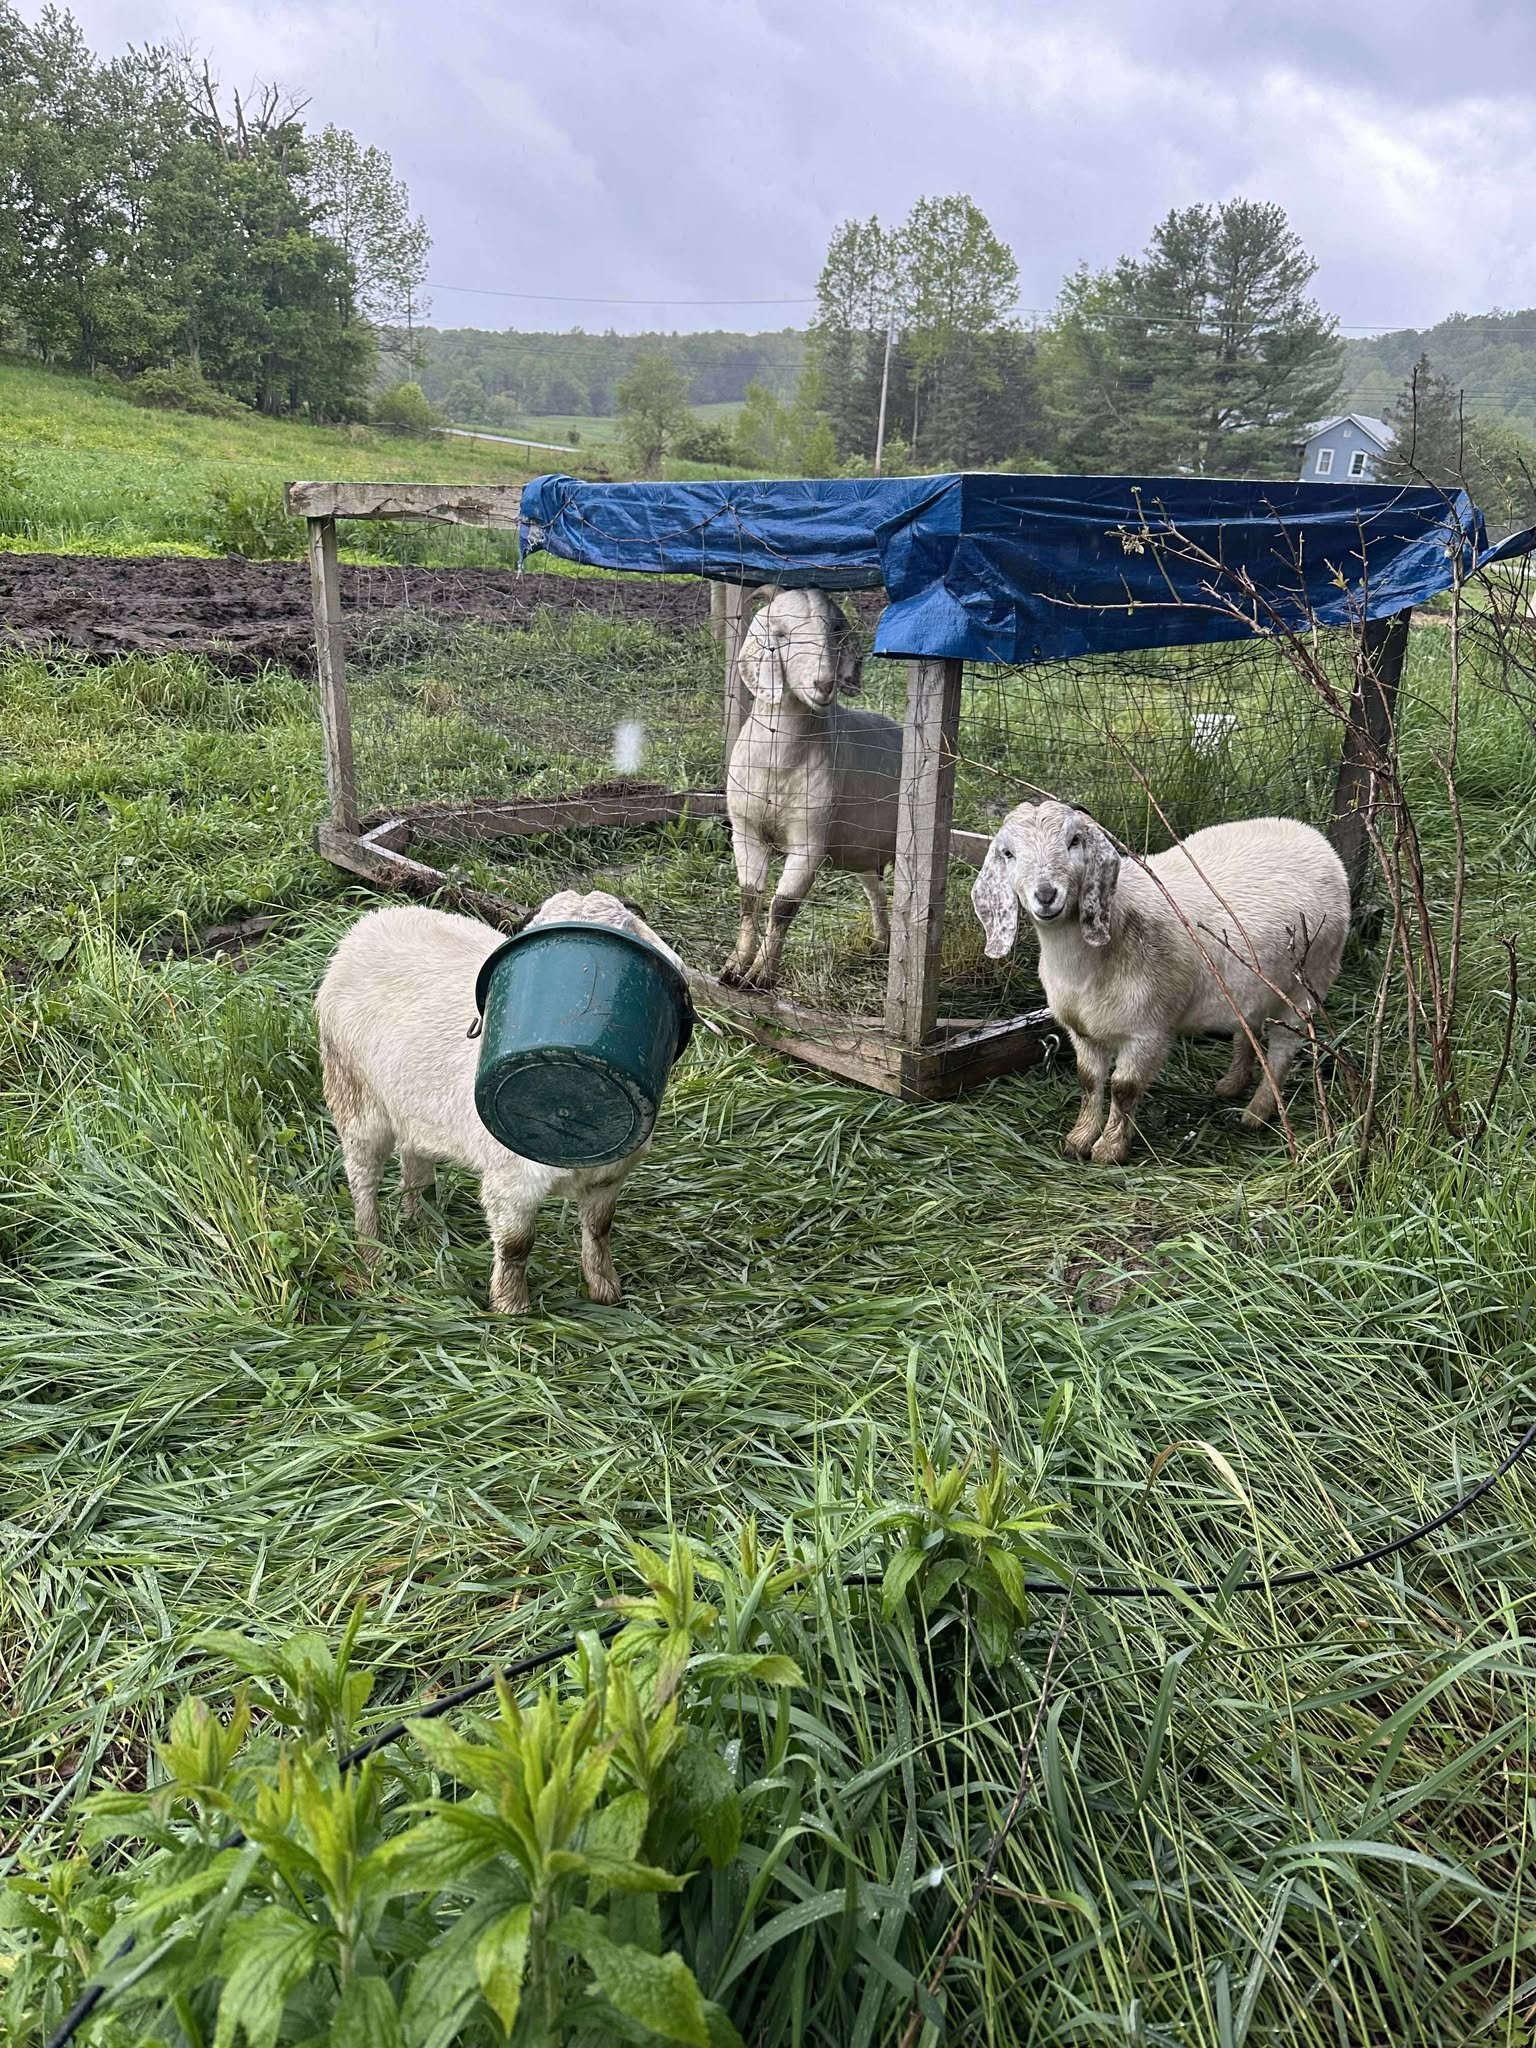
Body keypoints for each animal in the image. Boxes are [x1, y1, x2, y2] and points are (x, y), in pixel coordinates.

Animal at [315, 890, 685, 1312]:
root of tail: (368, 923)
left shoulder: (609, 1177)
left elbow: (599, 1229)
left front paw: (606, 1292)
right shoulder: (512, 1179)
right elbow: (515, 1245)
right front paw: (511, 1307)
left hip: (412, 1106)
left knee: (415, 1161)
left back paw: (424, 1228)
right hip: (353, 1093)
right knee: (363, 1178)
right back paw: (371, 1253)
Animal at [720, 585, 903, 990]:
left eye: (835, 633)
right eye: (781, 635)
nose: (824, 684)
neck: (781, 765)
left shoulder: (809, 841)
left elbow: (782, 907)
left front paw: (761, 976)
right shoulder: (746, 830)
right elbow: (750, 898)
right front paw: (734, 968)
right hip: (866, 850)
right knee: (876, 891)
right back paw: (881, 942)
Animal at [970, 801, 1350, 1165]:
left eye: (1074, 841)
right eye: (1008, 853)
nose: (1046, 895)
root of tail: (1313, 837)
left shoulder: (1148, 1031)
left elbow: (1123, 1089)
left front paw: (1109, 1149)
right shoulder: (1082, 1032)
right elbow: (1088, 1081)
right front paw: (1079, 1139)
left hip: (1309, 981)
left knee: (1284, 1048)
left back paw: (1257, 1112)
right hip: (1254, 983)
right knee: (1248, 1027)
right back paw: (1232, 1084)